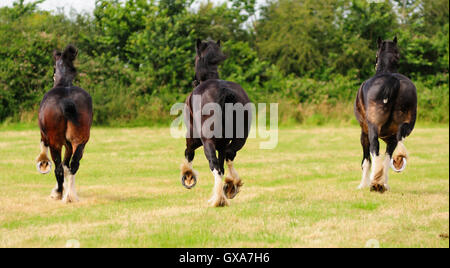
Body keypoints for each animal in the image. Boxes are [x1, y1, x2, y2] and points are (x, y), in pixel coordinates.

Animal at [35, 44, 93, 203]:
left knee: (59, 168)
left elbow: (47, 152)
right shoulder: (68, 145)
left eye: (54, 68)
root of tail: (67, 100)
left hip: (55, 143)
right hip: (81, 141)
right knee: (73, 165)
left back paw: (60, 194)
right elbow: (67, 165)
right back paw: (71, 195)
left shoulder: (46, 137)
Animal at [179, 39, 251, 207]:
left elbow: (188, 153)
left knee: (215, 166)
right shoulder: (222, 145)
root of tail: (224, 90)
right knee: (229, 156)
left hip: (207, 142)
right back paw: (230, 186)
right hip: (239, 139)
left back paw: (218, 199)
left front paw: (188, 176)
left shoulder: (193, 138)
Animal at [356, 37, 418, 193]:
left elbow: (366, 160)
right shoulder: (390, 137)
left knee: (374, 148)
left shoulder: (364, 132)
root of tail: (393, 80)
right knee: (396, 144)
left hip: (372, 129)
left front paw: (363, 184)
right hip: (404, 126)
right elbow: (386, 159)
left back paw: (374, 183)